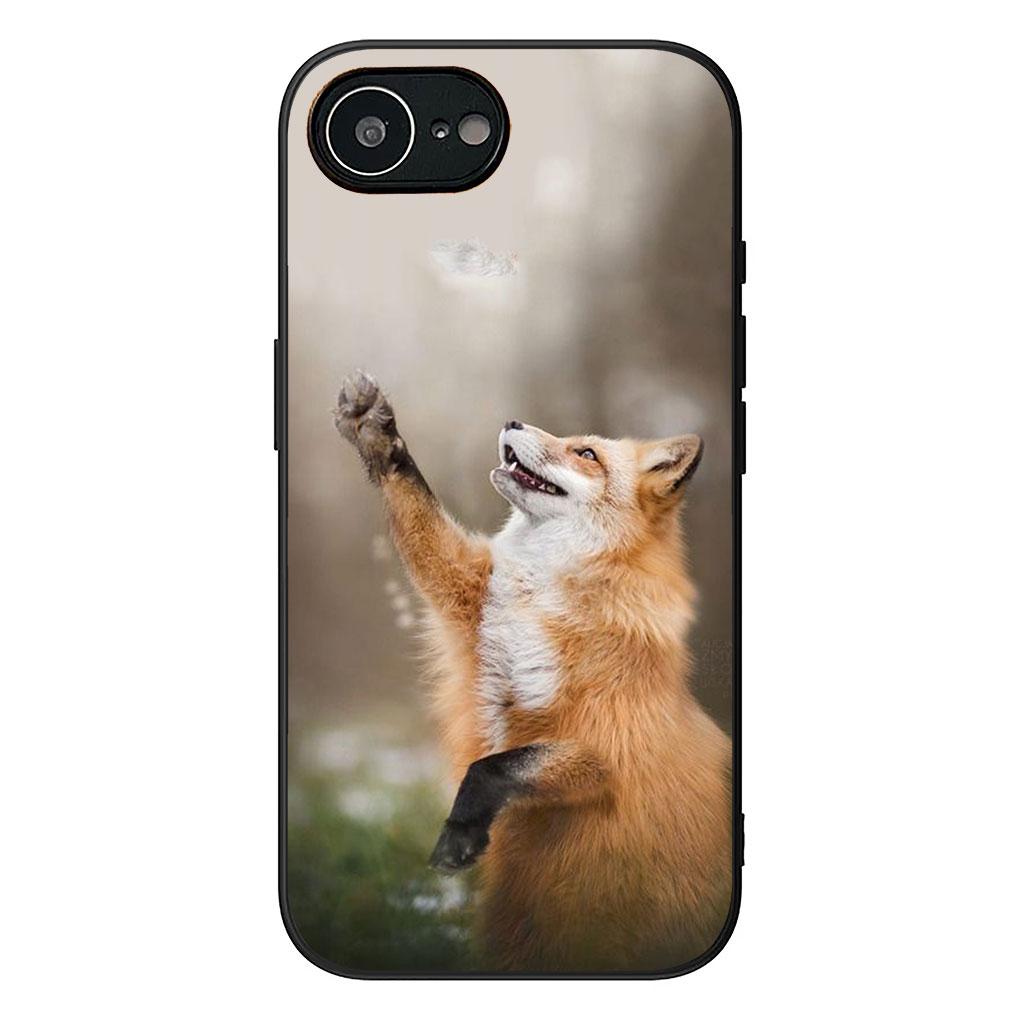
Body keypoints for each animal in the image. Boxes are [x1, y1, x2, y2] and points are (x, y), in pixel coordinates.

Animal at [333, 369, 733, 972]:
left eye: (587, 453)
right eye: (574, 442)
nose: (512, 421)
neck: (539, 595)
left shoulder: (606, 749)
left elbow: (493, 768)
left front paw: (460, 833)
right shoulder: (470, 606)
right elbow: (421, 517)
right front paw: (377, 436)